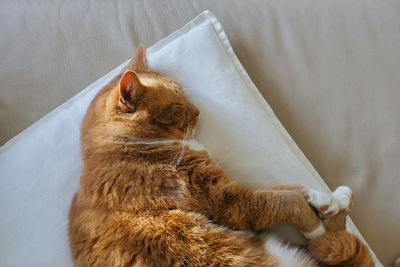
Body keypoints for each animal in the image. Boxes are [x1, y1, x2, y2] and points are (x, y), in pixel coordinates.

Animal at [69, 45, 376, 266]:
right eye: (177, 105)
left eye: (184, 95)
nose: (198, 111)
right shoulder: (226, 200)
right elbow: (286, 201)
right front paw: (315, 227)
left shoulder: (232, 188)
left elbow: (289, 188)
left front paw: (326, 200)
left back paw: (342, 199)